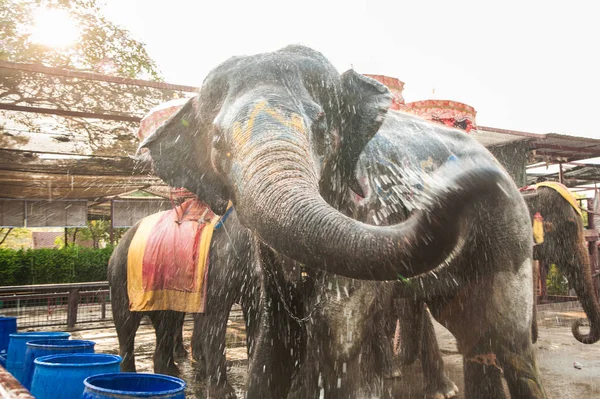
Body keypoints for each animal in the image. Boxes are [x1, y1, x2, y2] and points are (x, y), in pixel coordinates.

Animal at [139, 45, 544, 398]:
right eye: (217, 142)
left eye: (321, 126)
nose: (459, 183)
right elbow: (275, 338)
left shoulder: (367, 210)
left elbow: (335, 331)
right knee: (476, 339)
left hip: (509, 237)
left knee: (509, 343)